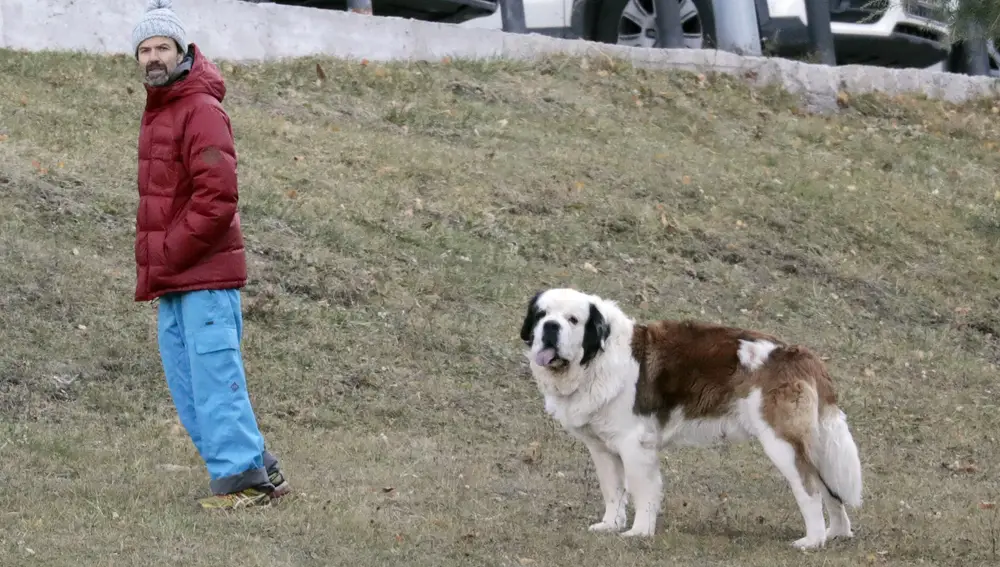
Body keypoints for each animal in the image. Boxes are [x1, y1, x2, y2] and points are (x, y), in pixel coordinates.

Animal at [520, 288, 864, 552]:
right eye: (542, 315)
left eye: (573, 320)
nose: (550, 327)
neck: (596, 358)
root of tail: (804, 355)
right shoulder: (602, 448)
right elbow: (612, 489)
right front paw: (610, 525)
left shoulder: (634, 445)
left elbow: (642, 489)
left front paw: (639, 532)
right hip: (813, 445)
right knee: (830, 488)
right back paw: (836, 534)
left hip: (782, 443)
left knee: (810, 488)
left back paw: (812, 541)